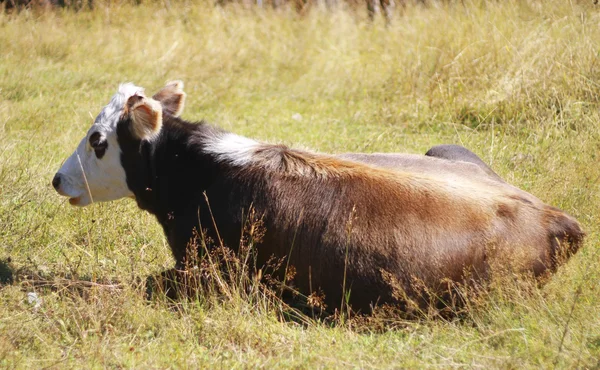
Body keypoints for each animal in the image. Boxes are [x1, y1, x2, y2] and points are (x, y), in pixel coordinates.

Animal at [52, 81, 584, 312]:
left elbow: (137, 284)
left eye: (98, 140)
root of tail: (557, 217)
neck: (203, 175)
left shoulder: (212, 276)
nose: (58, 179)